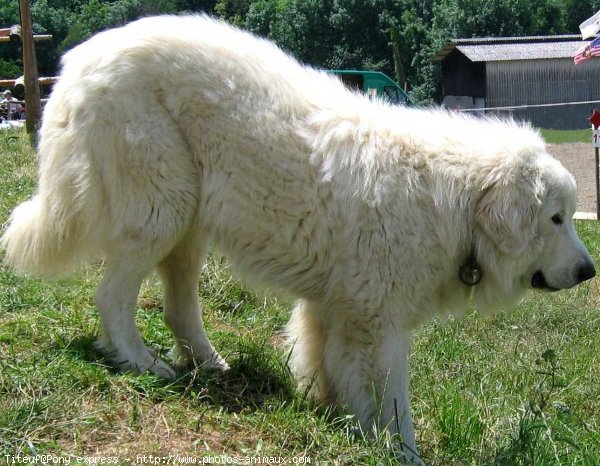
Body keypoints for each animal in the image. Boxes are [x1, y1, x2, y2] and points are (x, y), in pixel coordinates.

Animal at [2, 14, 596, 462]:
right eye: (556, 219)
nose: (589, 271)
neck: (451, 200)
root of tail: (81, 59)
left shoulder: (336, 308)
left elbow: (326, 366)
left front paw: (334, 420)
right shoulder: (376, 326)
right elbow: (392, 403)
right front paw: (400, 453)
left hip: (190, 218)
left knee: (177, 304)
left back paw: (208, 363)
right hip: (161, 207)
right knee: (112, 295)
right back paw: (142, 363)